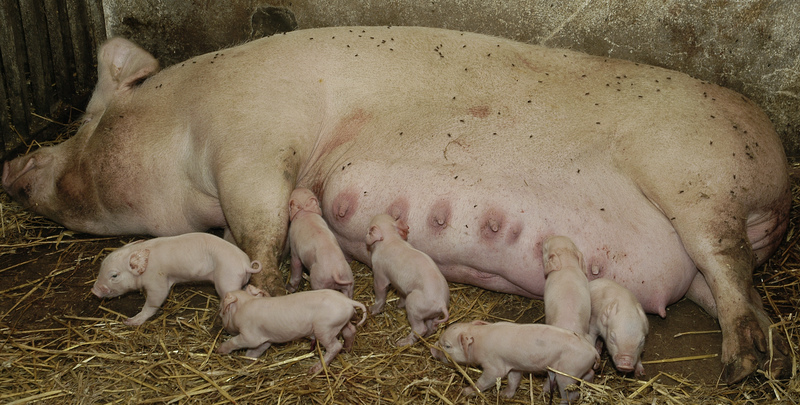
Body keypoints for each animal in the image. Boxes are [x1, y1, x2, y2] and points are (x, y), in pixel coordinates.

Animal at [91, 232, 260, 324]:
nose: (94, 290)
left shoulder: (157, 280)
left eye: (114, 275)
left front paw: (130, 322)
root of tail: (246, 265)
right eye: (101, 266)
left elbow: (155, 300)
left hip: (226, 279)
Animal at [219, 284, 368, 372]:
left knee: (335, 346)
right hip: (340, 322)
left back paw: (314, 369)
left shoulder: (250, 336)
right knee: (350, 331)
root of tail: (348, 300)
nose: (222, 323)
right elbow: (255, 351)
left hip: (324, 328)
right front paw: (247, 361)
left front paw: (220, 350)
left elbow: (236, 342)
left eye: (221, 310)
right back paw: (347, 350)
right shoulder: (265, 339)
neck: (244, 305)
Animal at [364, 213, 446, 346]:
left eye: (369, 230)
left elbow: (380, 290)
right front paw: (398, 305)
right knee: (432, 326)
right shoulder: (399, 284)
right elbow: (401, 292)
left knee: (420, 328)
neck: (390, 238)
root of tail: (442, 303)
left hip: (414, 305)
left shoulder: (379, 272)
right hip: (433, 314)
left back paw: (401, 343)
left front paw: (372, 310)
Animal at [432, 320, 592, 402]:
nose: (432, 350)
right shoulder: (514, 365)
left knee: (571, 394)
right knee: (588, 375)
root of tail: (593, 352)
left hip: (567, 372)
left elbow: (486, 380)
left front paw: (465, 391)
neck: (479, 341)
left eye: (447, 346)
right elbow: (513, 380)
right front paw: (505, 395)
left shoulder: (494, 365)